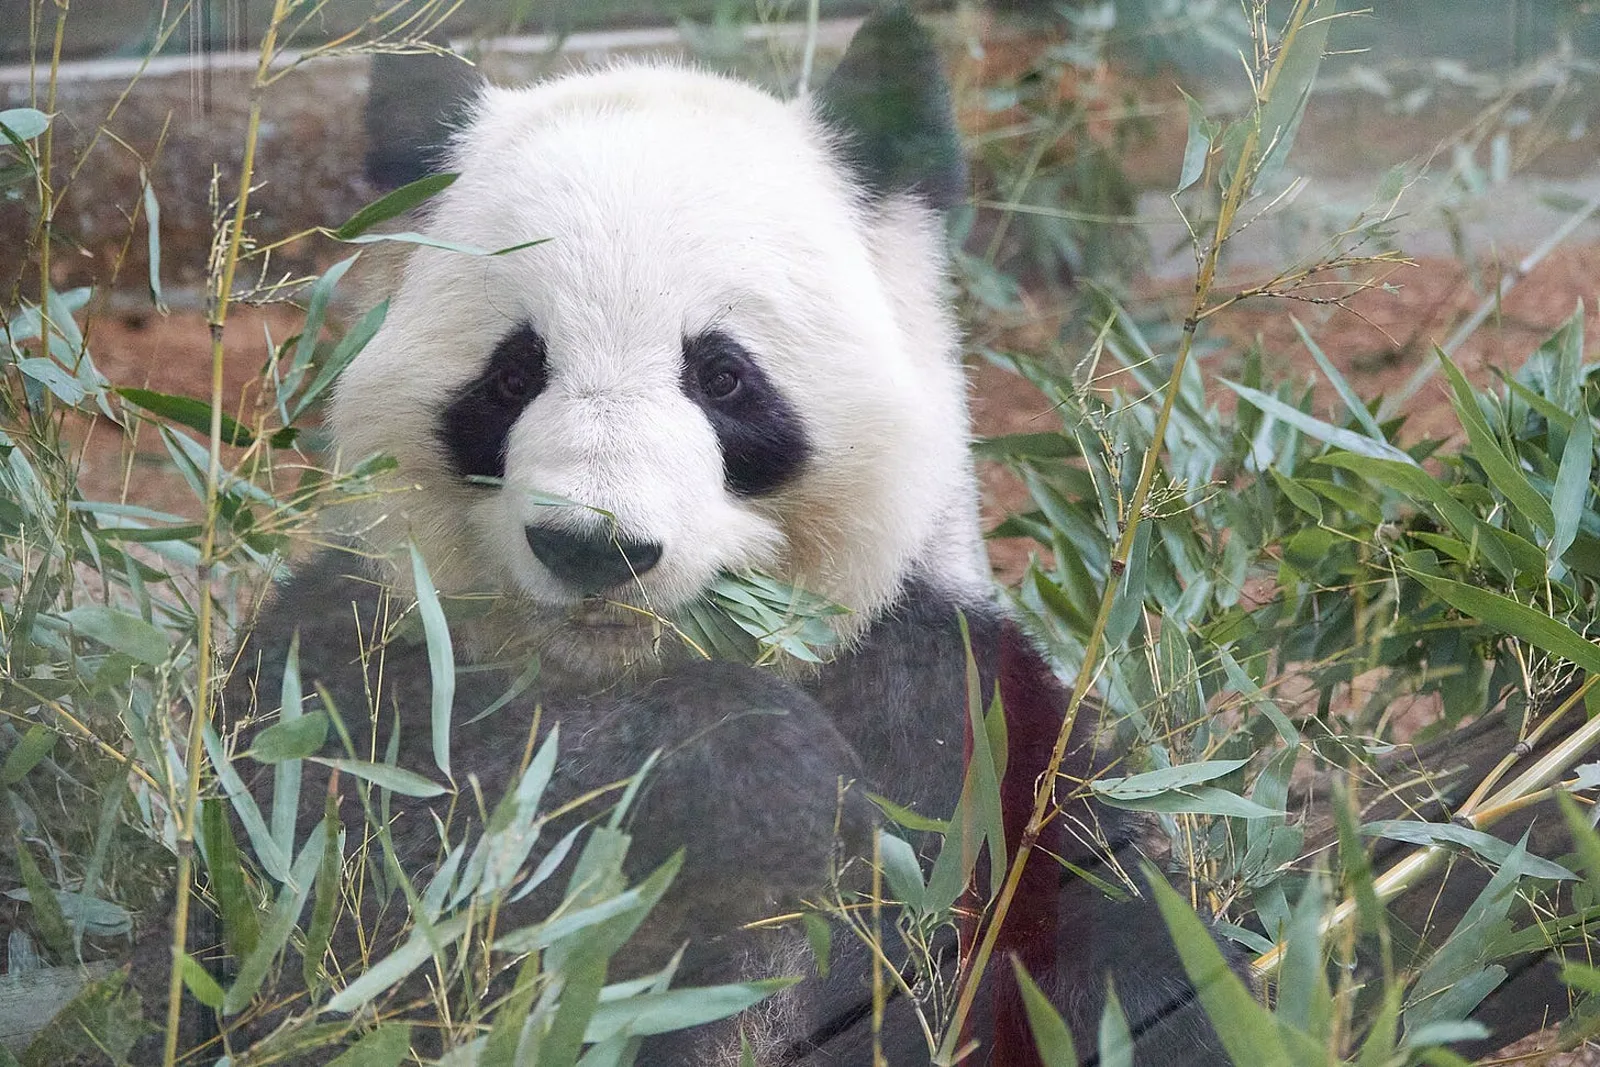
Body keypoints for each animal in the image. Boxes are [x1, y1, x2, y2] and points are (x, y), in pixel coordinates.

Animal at [198, 8, 1238, 1064]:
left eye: (723, 377)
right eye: (513, 373)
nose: (594, 546)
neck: (623, 672)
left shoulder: (957, 723)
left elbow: (1096, 933)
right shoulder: (353, 665)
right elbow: (346, 898)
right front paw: (750, 765)